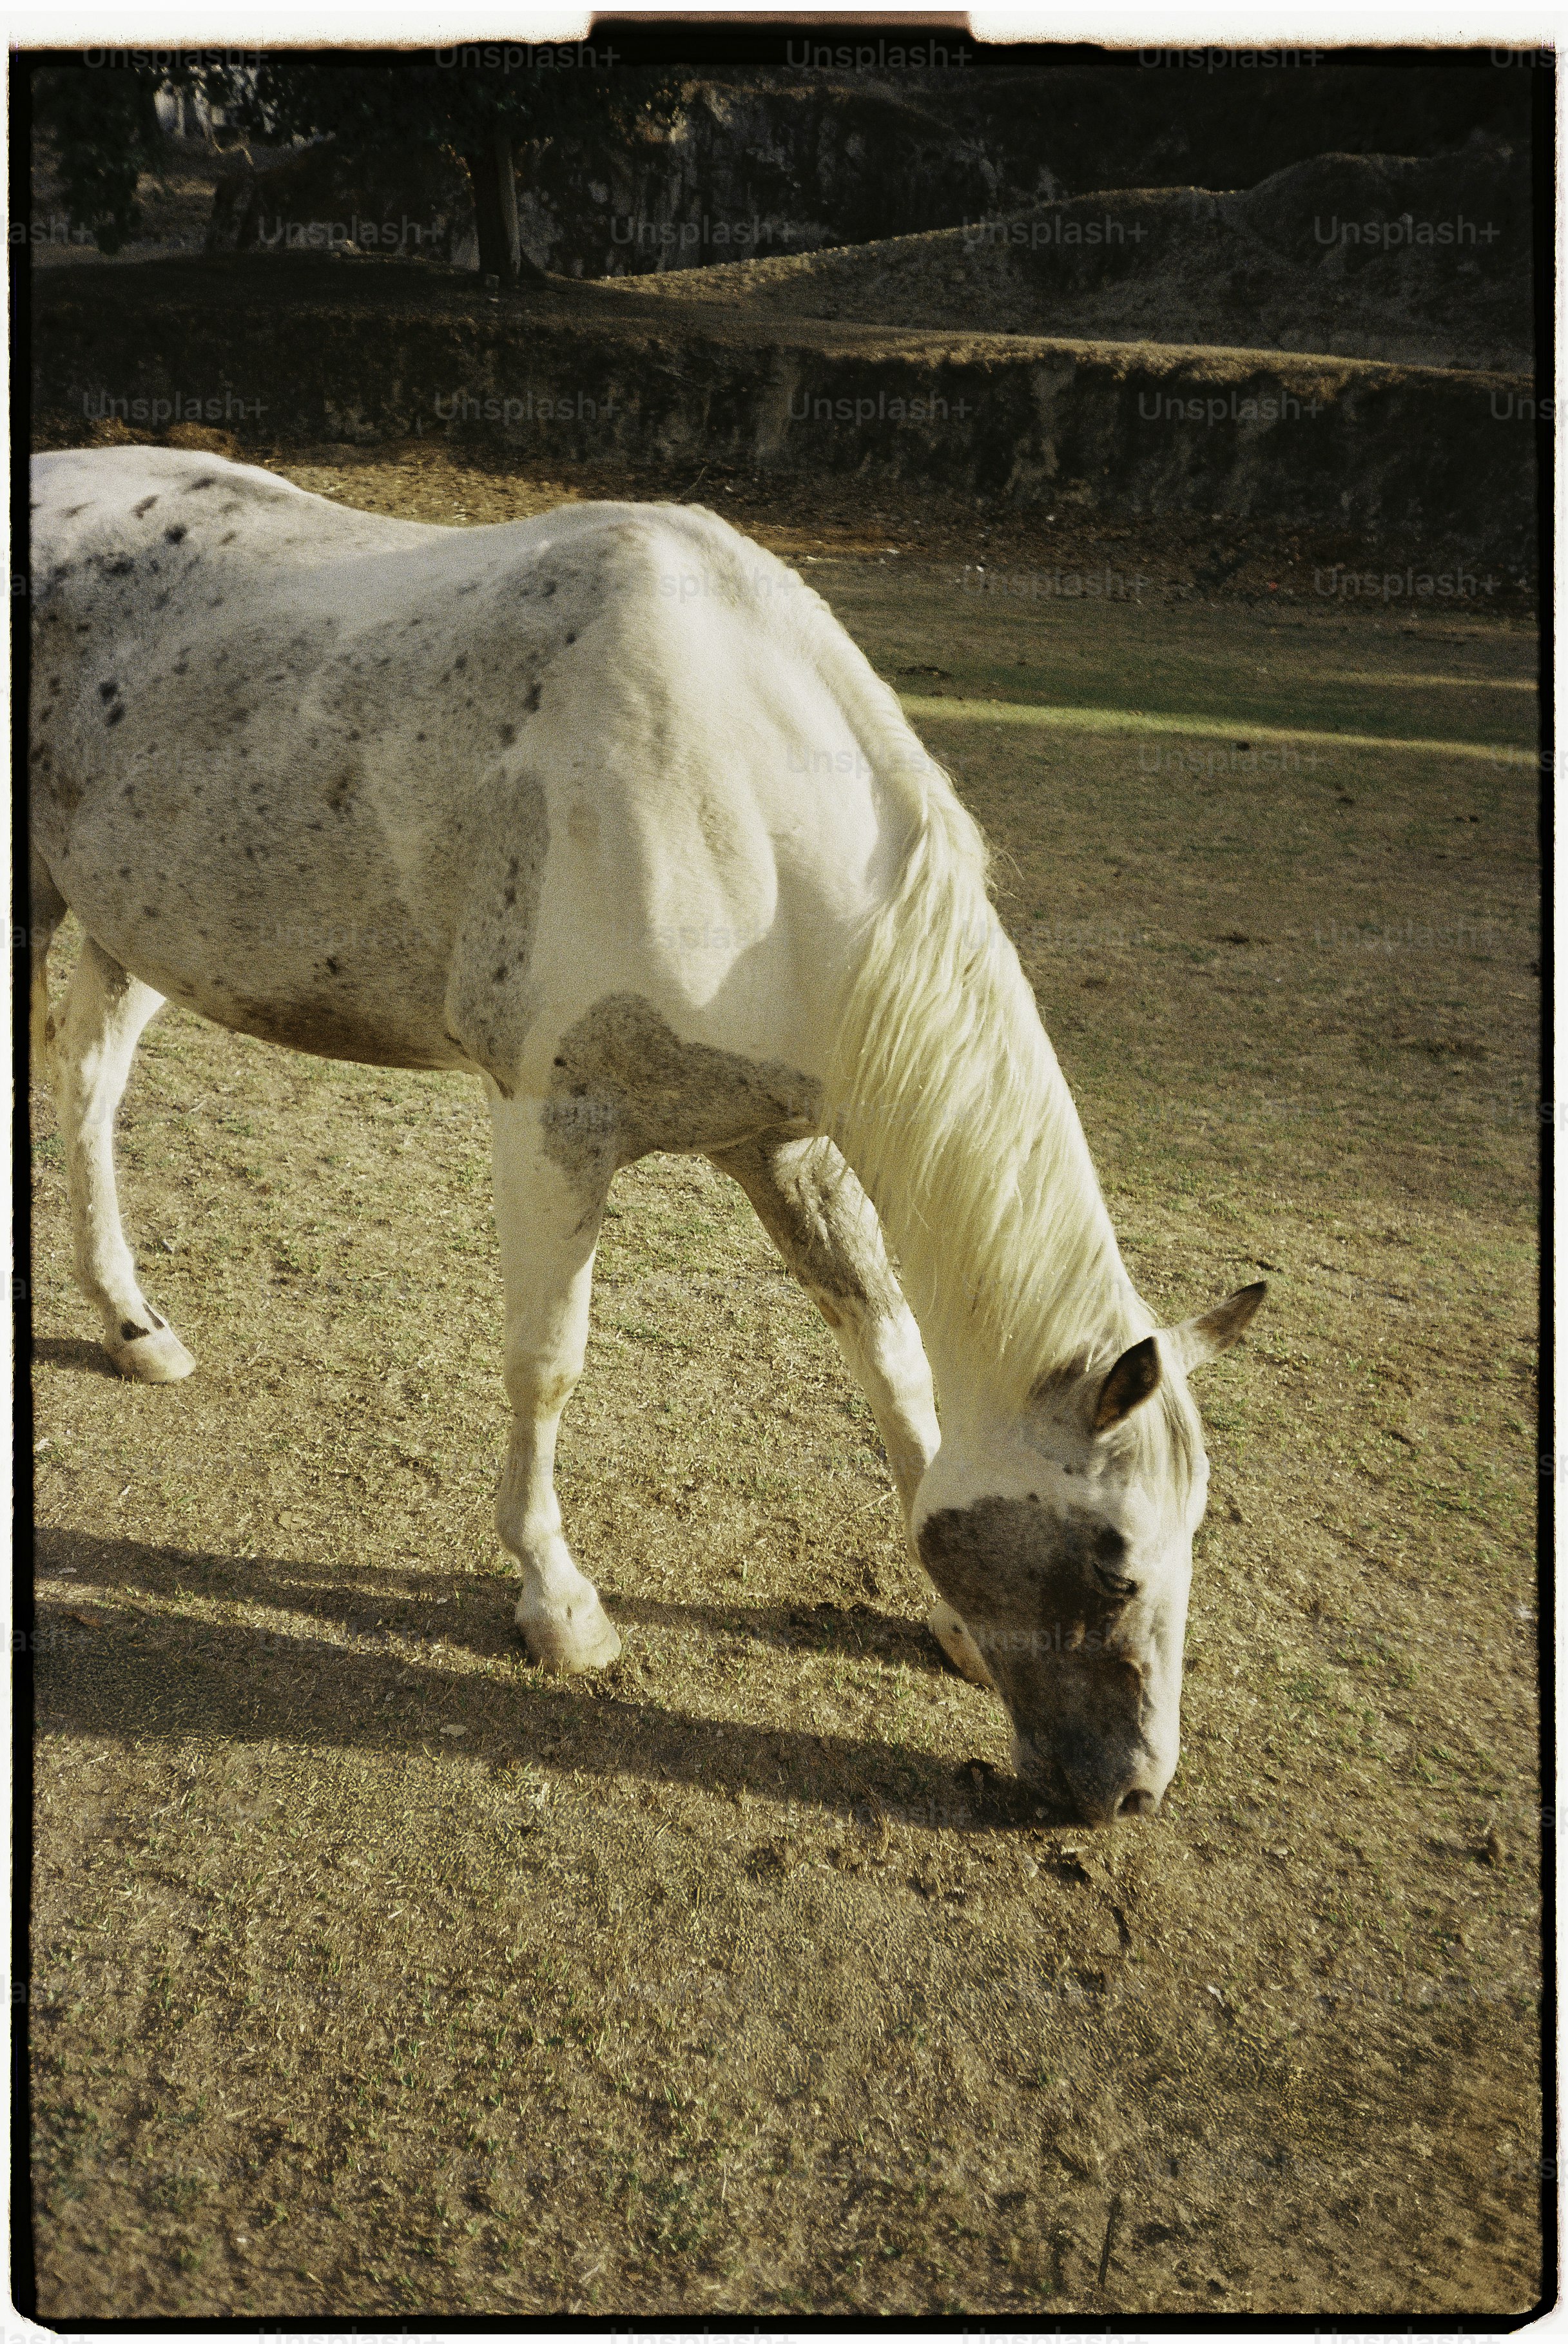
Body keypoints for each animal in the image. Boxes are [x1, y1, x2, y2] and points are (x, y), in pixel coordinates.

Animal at [28, 445, 1265, 1827]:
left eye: (1182, 1542)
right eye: (1110, 1567)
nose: (1128, 1791)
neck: (743, 824)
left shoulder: (781, 1142)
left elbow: (888, 1352)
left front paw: (946, 1624)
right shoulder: (551, 1124)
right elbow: (547, 1365)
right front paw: (558, 1606)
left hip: (128, 923)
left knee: (88, 1088)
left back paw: (133, 1326)